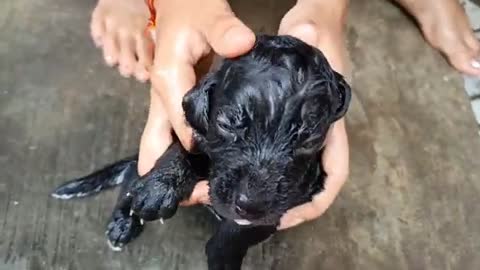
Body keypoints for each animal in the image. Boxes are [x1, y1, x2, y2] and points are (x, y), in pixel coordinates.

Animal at [52, 34, 350, 268]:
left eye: (309, 138)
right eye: (227, 124)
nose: (250, 205)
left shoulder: (292, 200)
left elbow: (241, 232)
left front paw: (222, 256)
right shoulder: (191, 130)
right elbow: (185, 150)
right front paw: (160, 186)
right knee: (131, 177)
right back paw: (124, 221)